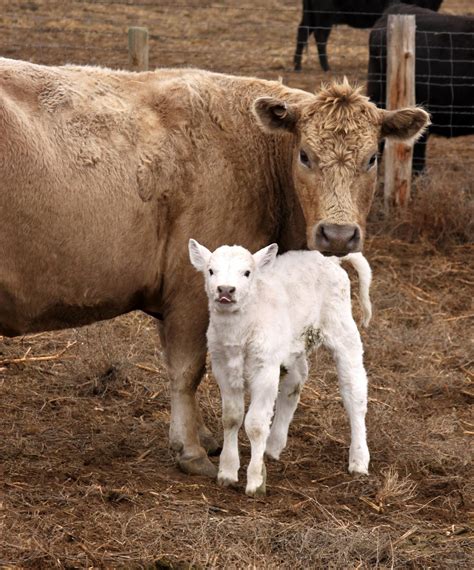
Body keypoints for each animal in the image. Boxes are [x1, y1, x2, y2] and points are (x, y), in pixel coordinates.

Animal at [188, 237, 370, 494]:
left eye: (247, 273)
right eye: (211, 271)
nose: (225, 290)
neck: (240, 331)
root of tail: (330, 259)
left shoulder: (265, 369)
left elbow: (255, 424)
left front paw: (255, 481)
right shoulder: (222, 366)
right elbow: (231, 418)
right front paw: (227, 472)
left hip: (342, 329)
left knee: (354, 392)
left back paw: (359, 460)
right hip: (292, 345)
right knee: (296, 381)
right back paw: (273, 445)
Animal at [292, 0, 444, 71]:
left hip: (310, 16)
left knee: (302, 32)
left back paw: (297, 65)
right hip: (324, 17)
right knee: (320, 36)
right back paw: (326, 67)